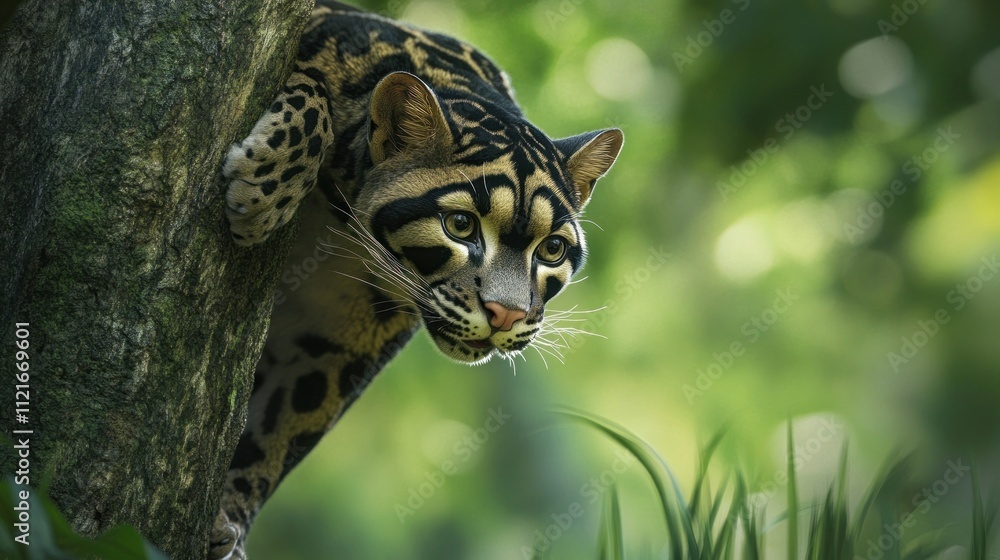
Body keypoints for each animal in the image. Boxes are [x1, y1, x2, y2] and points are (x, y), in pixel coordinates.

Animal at [209, 2, 622, 558]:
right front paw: (262, 194)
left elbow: (280, 430)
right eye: (461, 225)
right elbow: (313, 83)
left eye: (552, 249)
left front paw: (229, 518)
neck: (336, 218)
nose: (506, 314)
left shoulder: (336, 341)